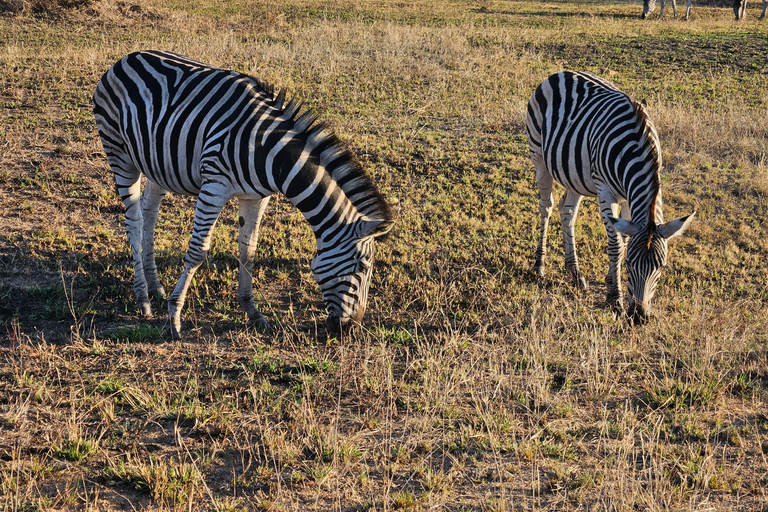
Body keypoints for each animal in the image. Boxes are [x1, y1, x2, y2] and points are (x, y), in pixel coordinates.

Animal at [95, 51, 392, 340]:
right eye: (362, 267)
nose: (350, 330)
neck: (270, 153)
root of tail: (126, 58)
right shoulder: (214, 186)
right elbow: (197, 251)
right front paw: (174, 317)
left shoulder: (256, 197)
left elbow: (248, 250)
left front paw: (253, 312)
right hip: (120, 155)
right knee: (133, 222)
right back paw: (142, 297)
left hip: (158, 163)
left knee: (149, 213)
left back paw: (155, 285)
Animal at [528, 71, 696, 324]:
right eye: (629, 265)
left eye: (662, 267)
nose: (638, 317)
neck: (638, 148)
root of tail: (561, 73)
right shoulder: (606, 191)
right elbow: (616, 245)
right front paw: (615, 298)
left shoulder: (628, 197)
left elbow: (624, 241)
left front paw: (610, 285)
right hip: (539, 157)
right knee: (546, 207)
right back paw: (539, 264)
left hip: (573, 173)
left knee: (567, 211)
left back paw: (575, 271)